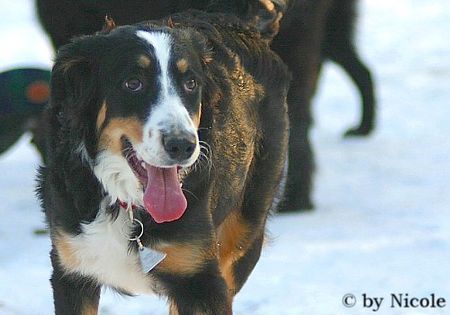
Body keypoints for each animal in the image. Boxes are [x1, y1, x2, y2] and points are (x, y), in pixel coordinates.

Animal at [38, 11, 290, 314]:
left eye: (191, 83)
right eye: (133, 83)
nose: (182, 145)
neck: (128, 206)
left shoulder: (200, 279)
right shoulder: (72, 273)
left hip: (244, 232)